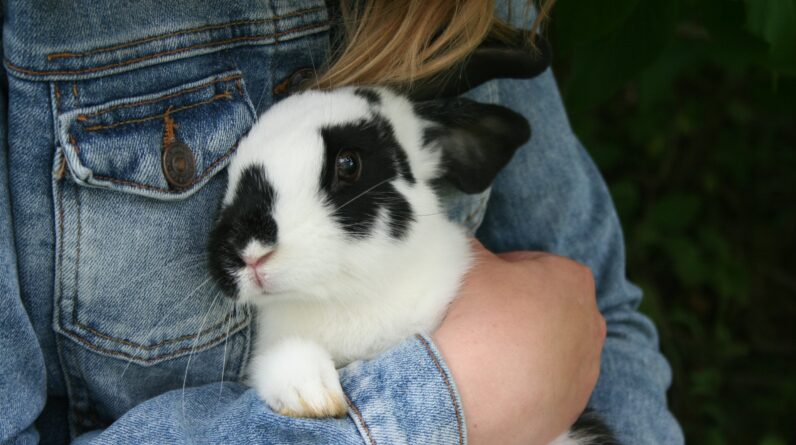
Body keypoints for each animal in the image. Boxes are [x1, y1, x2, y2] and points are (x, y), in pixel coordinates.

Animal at [207, 87, 616, 444]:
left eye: (349, 164)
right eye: (231, 175)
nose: (248, 251)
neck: (347, 297)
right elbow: (284, 360)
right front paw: (313, 395)